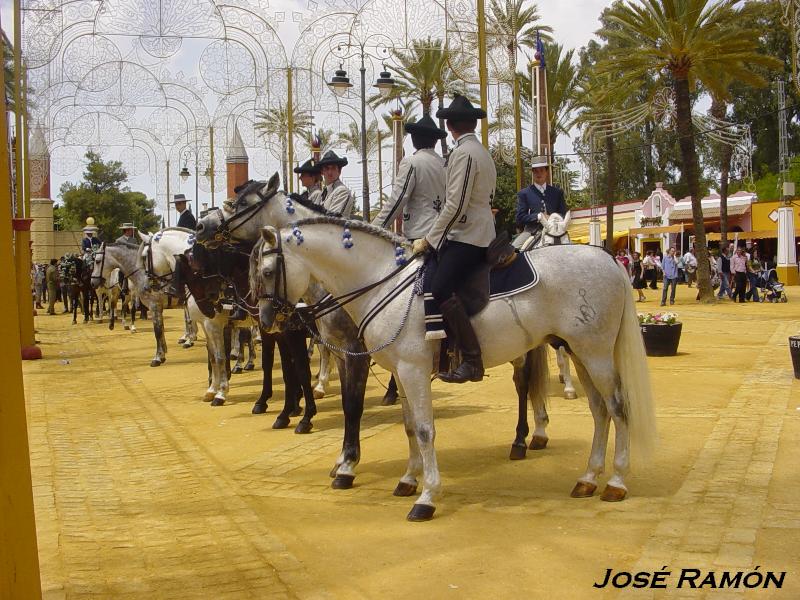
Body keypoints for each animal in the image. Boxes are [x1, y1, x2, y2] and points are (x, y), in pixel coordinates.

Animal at [255, 219, 656, 520]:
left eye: (267, 270)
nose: (267, 321)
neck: (385, 283)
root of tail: (605, 259)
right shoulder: (401, 371)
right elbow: (409, 427)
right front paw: (408, 480)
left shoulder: (413, 369)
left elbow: (425, 430)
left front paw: (426, 497)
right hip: (579, 352)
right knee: (600, 411)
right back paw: (588, 478)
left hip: (595, 354)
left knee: (618, 408)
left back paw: (615, 482)